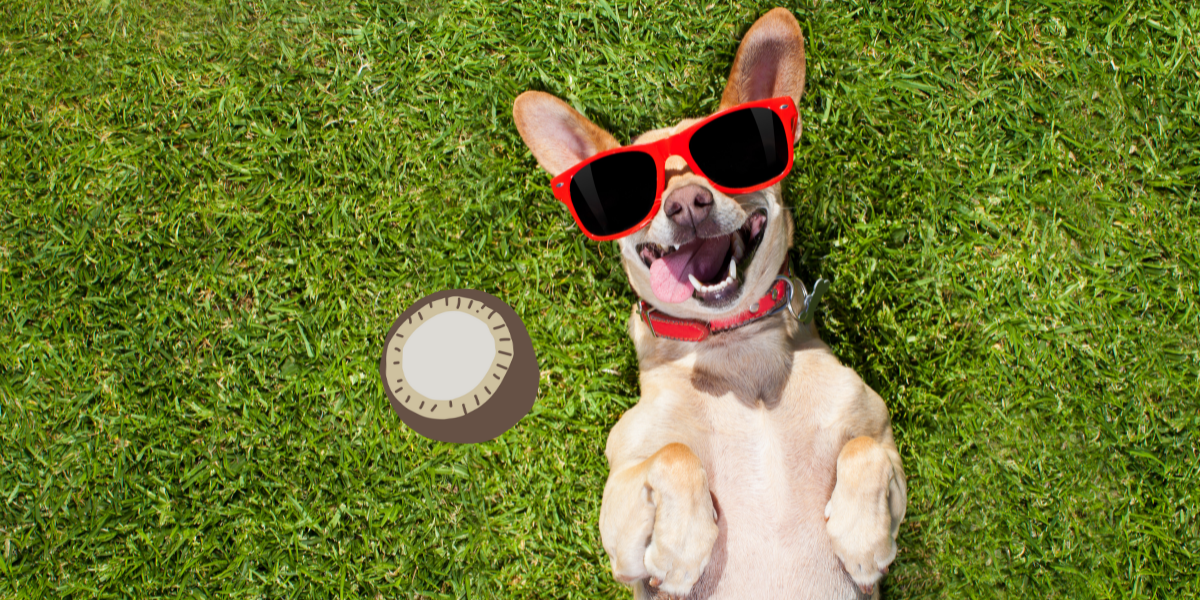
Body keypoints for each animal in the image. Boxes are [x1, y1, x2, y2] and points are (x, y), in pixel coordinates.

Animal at [511, 7, 902, 597]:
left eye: (732, 156)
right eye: (634, 192)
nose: (687, 203)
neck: (734, 347)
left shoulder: (883, 442)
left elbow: (867, 450)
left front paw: (861, 537)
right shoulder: (622, 523)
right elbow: (673, 455)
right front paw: (683, 545)